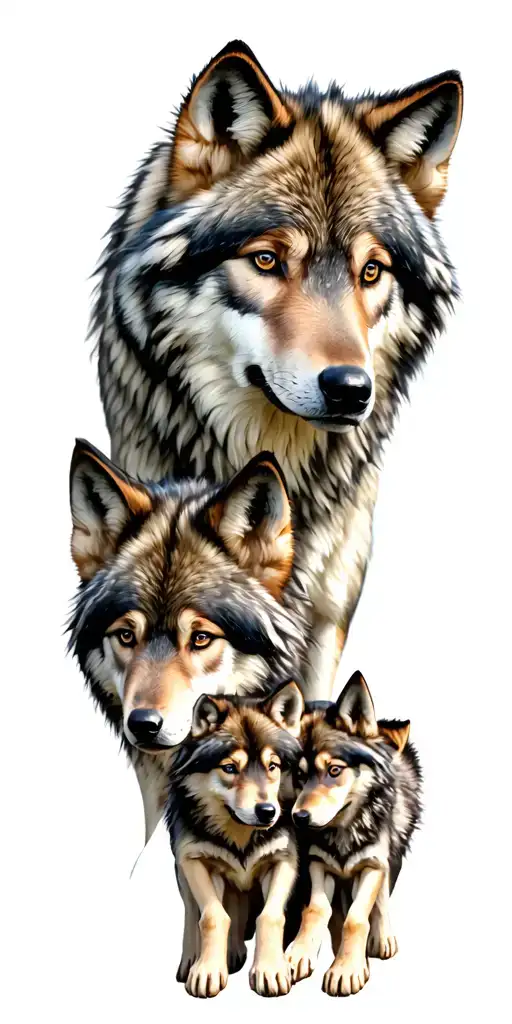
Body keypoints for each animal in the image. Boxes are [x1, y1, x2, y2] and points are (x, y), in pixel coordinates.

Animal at [166, 681, 304, 998]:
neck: (241, 839)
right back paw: (193, 959)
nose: (267, 812)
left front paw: (270, 970)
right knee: (192, 912)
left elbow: (269, 916)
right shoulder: (196, 861)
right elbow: (213, 916)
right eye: (229, 768)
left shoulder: (283, 860)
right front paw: (206, 971)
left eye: (273, 766)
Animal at [286, 671, 421, 996]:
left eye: (334, 770)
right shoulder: (318, 863)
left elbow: (357, 918)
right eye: (299, 775)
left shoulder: (372, 864)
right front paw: (299, 953)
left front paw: (347, 969)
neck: (344, 834)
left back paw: (382, 939)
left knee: (381, 895)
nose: (299, 818)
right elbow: (316, 910)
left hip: (390, 852)